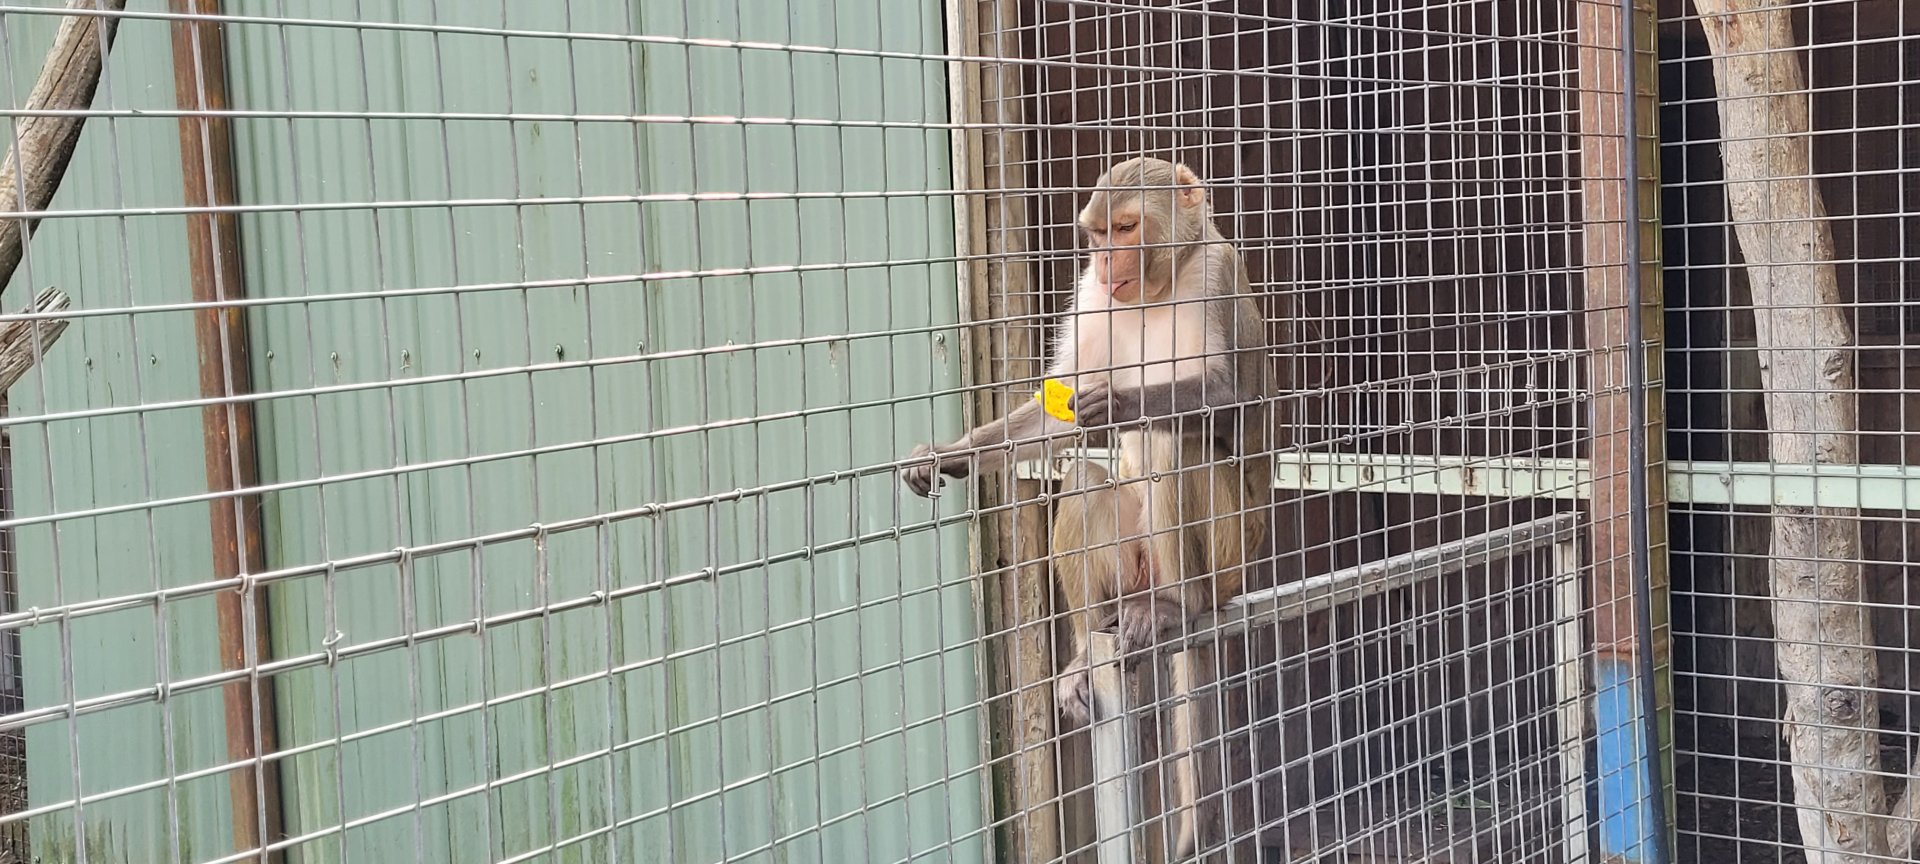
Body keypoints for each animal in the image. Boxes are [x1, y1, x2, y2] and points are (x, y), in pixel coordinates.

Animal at [900, 156, 1275, 860]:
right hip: (1130, 563)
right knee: (1085, 480)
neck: (1157, 285)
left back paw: (1176, 606)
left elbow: (1232, 401)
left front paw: (1121, 405)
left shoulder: (1217, 272)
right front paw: (950, 454)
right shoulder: (1093, 298)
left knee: (1174, 445)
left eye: (1125, 228)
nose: (1104, 262)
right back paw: (1085, 650)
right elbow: (1054, 420)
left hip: (1233, 553)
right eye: (1096, 235)